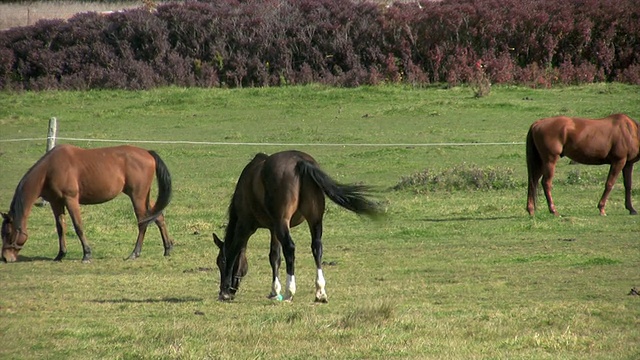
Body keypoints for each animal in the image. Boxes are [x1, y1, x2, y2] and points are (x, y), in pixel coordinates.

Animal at [1, 143, 174, 262]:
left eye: (7, 233)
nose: (5, 257)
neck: (49, 170)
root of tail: (147, 153)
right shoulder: (56, 202)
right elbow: (60, 228)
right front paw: (60, 254)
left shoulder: (71, 199)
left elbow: (78, 226)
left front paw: (87, 254)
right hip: (144, 196)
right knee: (158, 217)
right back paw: (167, 249)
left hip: (137, 196)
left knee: (143, 222)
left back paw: (134, 253)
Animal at [212, 150, 382, 302]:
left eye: (220, 262)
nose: (226, 290)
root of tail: (299, 161)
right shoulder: (273, 229)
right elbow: (274, 256)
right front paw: (274, 291)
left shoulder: (245, 226)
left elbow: (234, 252)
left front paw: (225, 292)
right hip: (314, 220)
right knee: (317, 247)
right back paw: (320, 292)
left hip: (283, 222)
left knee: (290, 248)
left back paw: (290, 292)